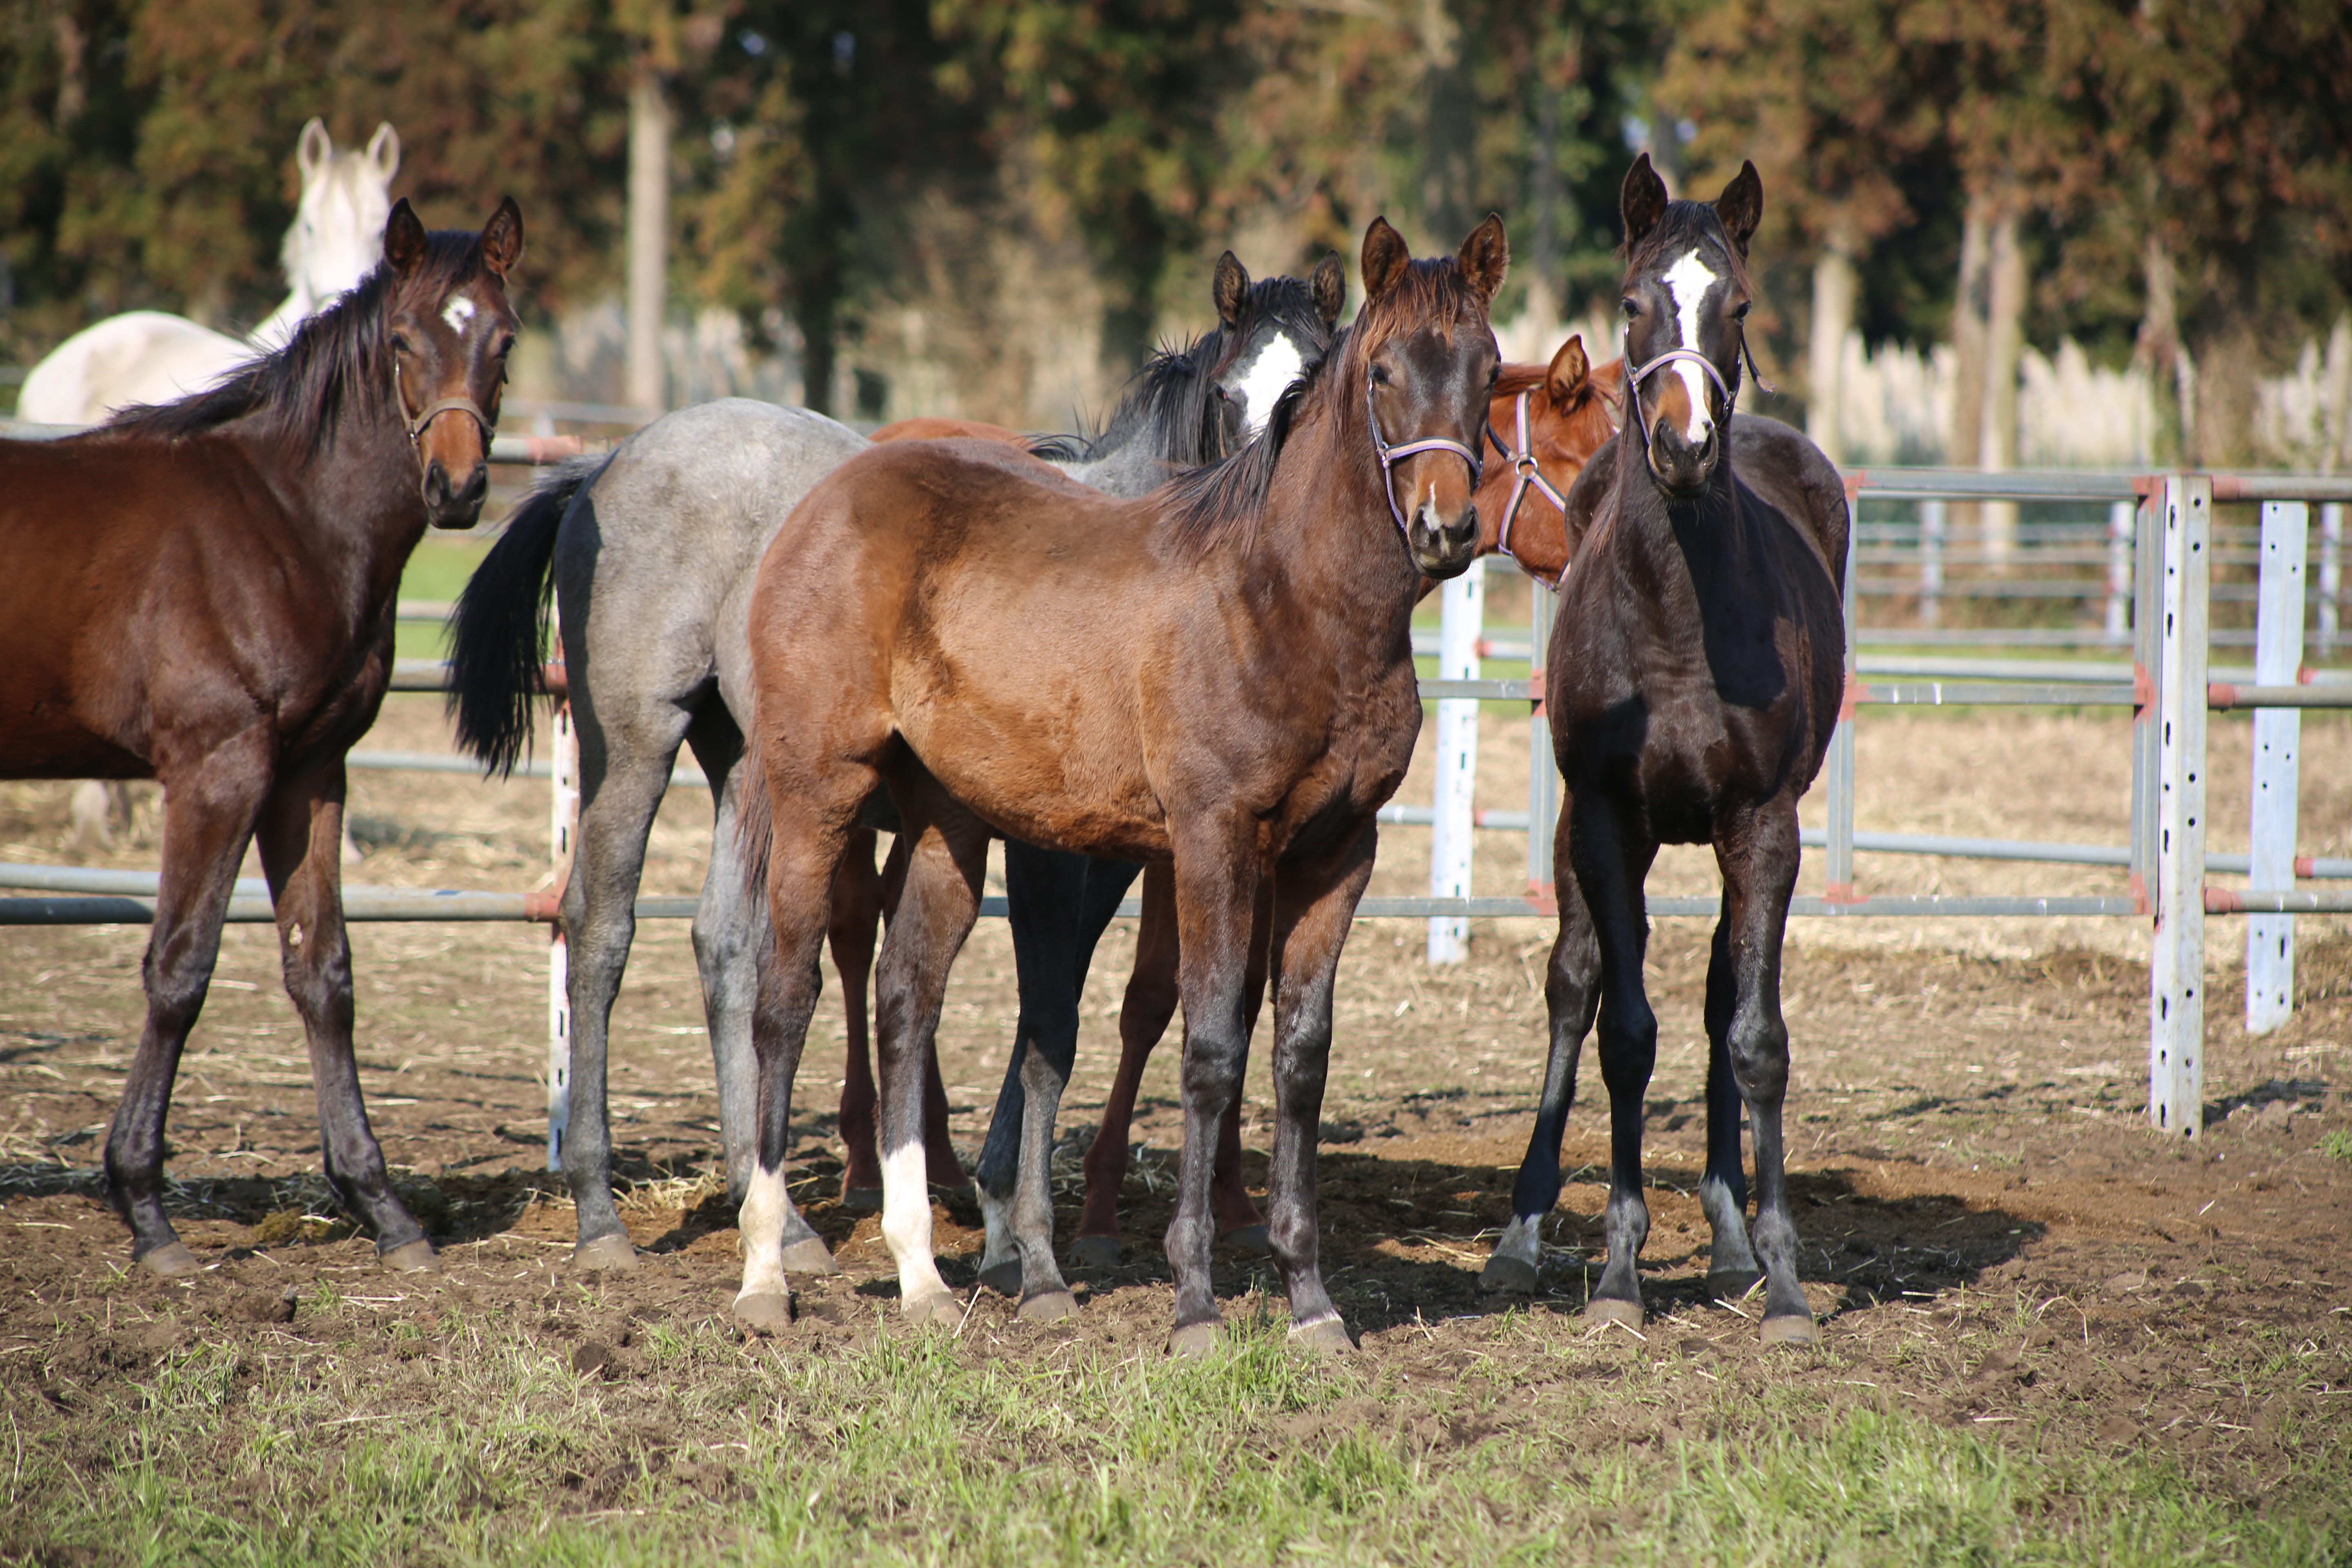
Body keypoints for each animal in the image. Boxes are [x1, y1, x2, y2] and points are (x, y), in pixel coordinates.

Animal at [0, 196, 524, 1278]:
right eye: (404, 341)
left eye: (505, 339)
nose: (457, 488)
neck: (281, 520)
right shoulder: (217, 770)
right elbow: (179, 967)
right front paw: (147, 1211)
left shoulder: (307, 774)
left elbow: (321, 971)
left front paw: (383, 1209)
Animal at [734, 215, 1505, 1354]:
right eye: (1381, 371)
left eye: (1490, 371)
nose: (1444, 529)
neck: (1285, 600)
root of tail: (823, 500)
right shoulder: (1211, 840)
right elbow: (1208, 1049)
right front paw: (1193, 1306)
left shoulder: (1336, 855)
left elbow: (1299, 1058)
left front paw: (1311, 1302)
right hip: (816, 797)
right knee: (785, 999)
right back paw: (764, 1275)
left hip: (945, 825)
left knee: (905, 1001)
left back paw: (923, 1278)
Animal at [1477, 153, 1844, 1345]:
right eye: (1634, 304)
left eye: (1738, 305)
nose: (1684, 450)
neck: (1679, 621)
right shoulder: (1604, 821)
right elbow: (1621, 1032)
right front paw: (1616, 1278)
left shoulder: (1762, 827)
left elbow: (1754, 1036)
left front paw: (1780, 1279)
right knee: (1576, 985)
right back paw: (1520, 1238)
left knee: (1724, 995)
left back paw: (1730, 1242)